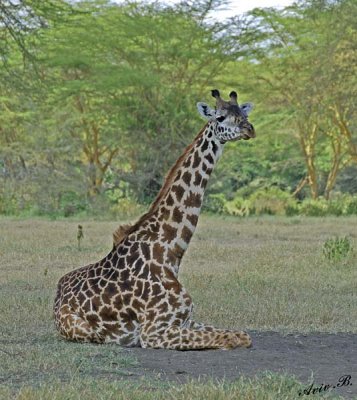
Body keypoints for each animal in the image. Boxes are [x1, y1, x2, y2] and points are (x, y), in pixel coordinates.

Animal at [53, 89, 253, 348]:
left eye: (244, 114)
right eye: (220, 117)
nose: (249, 129)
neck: (169, 250)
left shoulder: (185, 320)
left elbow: (242, 334)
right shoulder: (154, 331)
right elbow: (233, 338)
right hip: (85, 331)